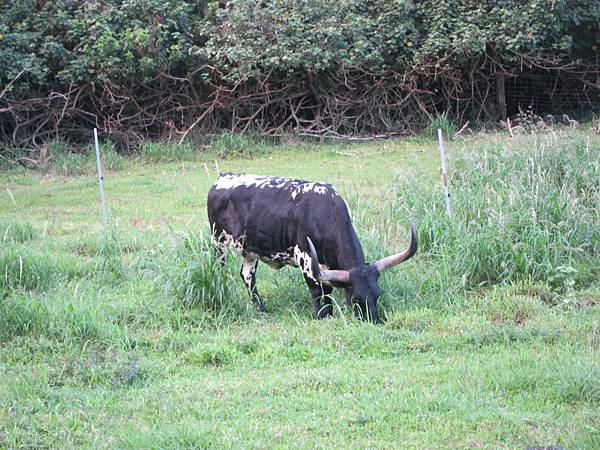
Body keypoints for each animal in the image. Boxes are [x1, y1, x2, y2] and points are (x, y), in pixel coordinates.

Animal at [206, 172, 418, 324]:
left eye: (377, 294)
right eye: (355, 299)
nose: (374, 321)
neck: (324, 214)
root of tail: (222, 178)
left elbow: (328, 291)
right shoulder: (306, 260)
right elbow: (317, 292)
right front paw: (321, 316)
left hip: (249, 250)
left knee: (248, 277)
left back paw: (261, 309)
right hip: (218, 242)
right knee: (220, 269)